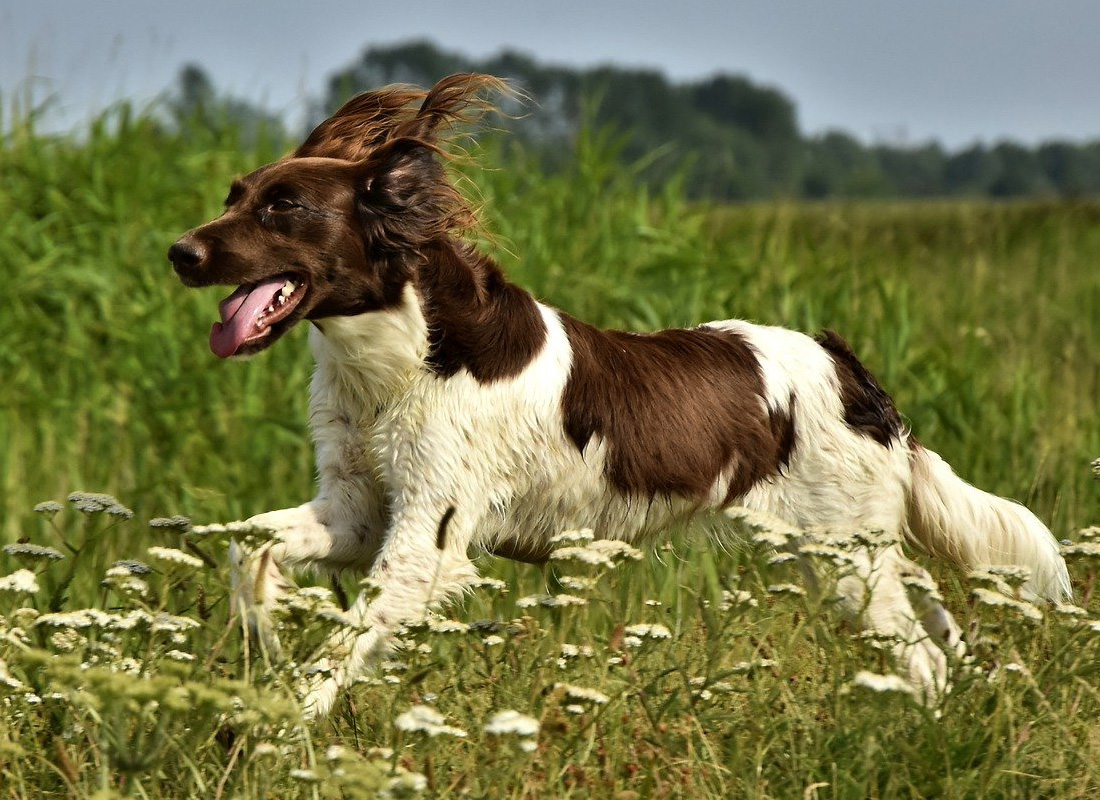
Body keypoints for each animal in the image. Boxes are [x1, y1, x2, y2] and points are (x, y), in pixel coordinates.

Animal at [167, 72, 1069, 717]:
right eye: (233, 197)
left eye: (284, 206)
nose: (179, 252)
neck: (404, 354)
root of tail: (851, 369)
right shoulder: (358, 509)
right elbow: (250, 551)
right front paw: (263, 633)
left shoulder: (426, 540)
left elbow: (335, 654)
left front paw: (276, 728)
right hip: (843, 551)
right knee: (936, 619)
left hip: (843, 555)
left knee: (922, 656)